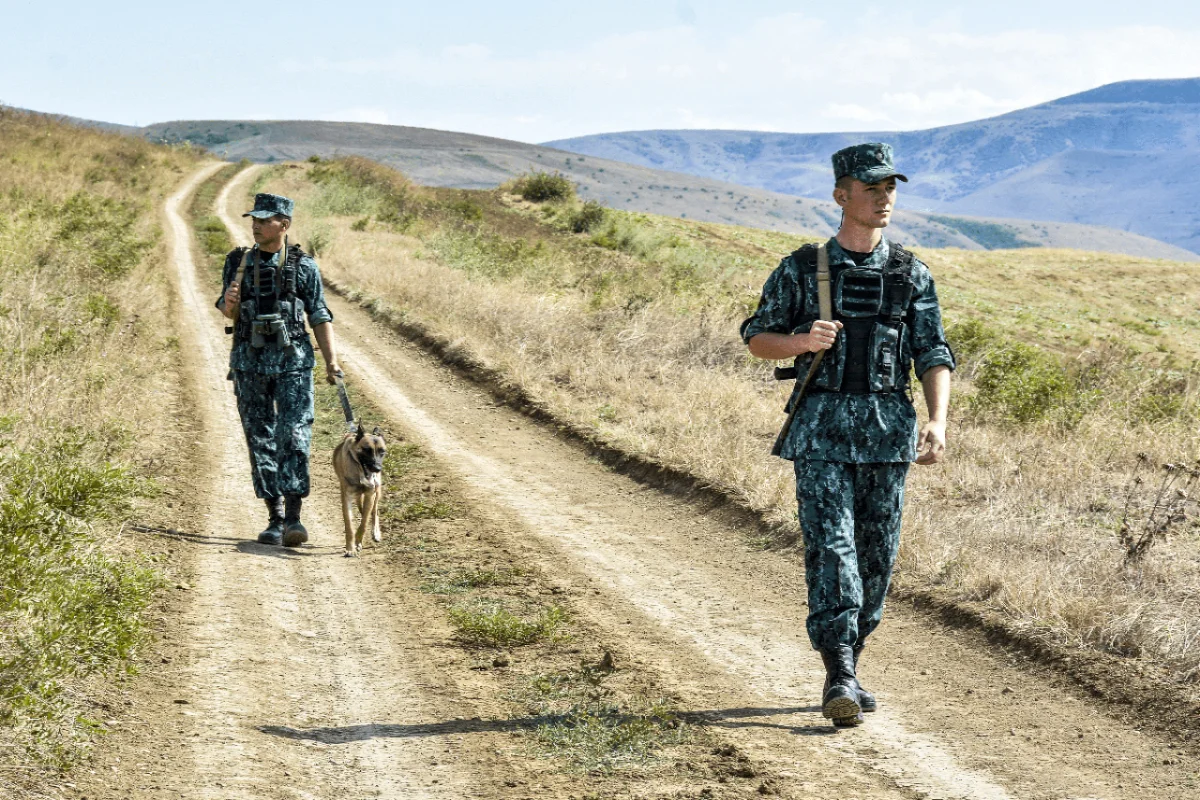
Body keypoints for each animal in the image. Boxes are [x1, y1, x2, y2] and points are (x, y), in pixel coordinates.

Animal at [213, 190, 338, 546]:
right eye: (256, 219)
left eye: (265, 220)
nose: (255, 225)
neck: (271, 253)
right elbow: (224, 299)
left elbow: (319, 312)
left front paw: (296, 522)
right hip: (251, 392)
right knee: (260, 438)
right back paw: (274, 522)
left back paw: (289, 524)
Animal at [331, 424, 386, 556]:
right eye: (367, 450)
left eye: (382, 451)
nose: (377, 468)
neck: (359, 471)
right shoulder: (347, 497)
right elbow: (349, 525)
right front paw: (350, 548)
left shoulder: (370, 494)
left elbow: (364, 522)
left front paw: (358, 542)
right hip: (358, 496)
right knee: (363, 508)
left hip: (377, 492)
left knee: (374, 511)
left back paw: (376, 532)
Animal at [734, 142, 950, 724]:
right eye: (871, 185)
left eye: (888, 186)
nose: (886, 200)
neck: (860, 250)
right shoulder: (821, 466)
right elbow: (759, 328)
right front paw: (840, 680)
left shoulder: (924, 289)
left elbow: (932, 349)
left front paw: (934, 437)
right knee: (845, 556)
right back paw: (844, 675)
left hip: (884, 492)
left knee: (876, 558)